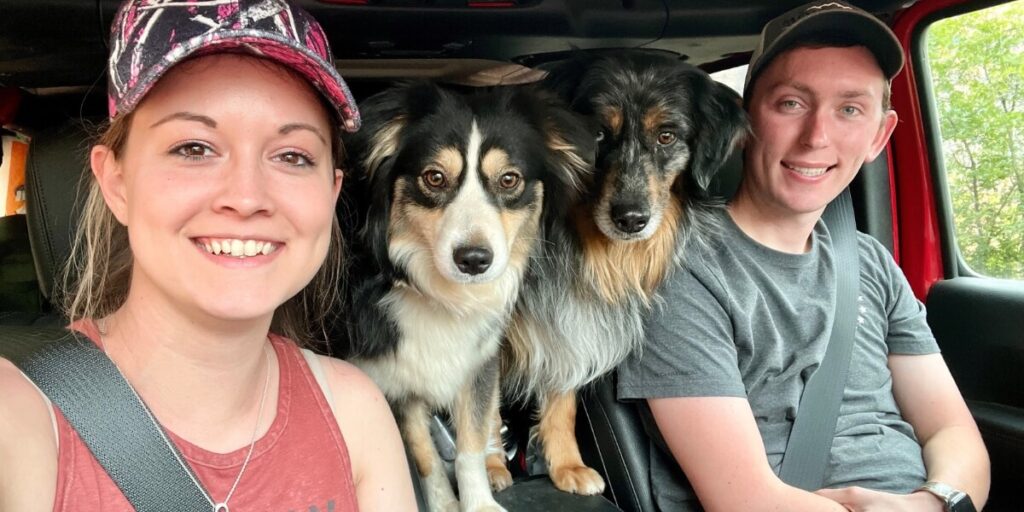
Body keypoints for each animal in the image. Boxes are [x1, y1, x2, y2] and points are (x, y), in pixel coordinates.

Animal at [335, 81, 593, 509]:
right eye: (435, 177)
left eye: (509, 180)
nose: (474, 260)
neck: (443, 296)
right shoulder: (393, 380)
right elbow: (425, 456)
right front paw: (444, 504)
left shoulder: (479, 364)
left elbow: (470, 445)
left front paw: (479, 502)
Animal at [495, 49, 745, 493]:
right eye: (596, 134)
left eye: (667, 136)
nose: (631, 219)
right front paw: (487, 467)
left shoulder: (570, 318)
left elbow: (563, 400)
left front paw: (566, 465)